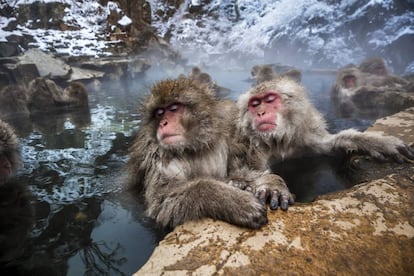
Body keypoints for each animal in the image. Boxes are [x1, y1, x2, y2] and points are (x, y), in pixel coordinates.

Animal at [126, 77, 294, 229]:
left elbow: (246, 167)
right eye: (159, 113)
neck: (195, 145)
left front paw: (270, 184)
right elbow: (164, 198)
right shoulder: (155, 151)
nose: (163, 123)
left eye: (173, 108)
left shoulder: (230, 121)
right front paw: (235, 201)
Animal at [236, 77, 414, 171]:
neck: (280, 140)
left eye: (270, 100)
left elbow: (330, 145)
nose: (260, 112)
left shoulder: (304, 140)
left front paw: (376, 143)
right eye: (255, 104)